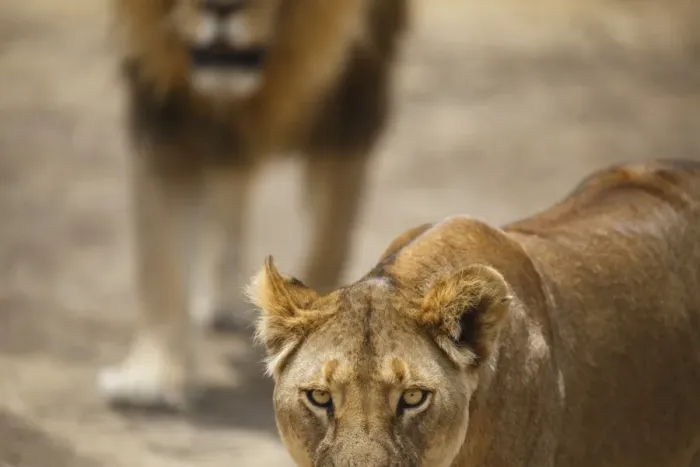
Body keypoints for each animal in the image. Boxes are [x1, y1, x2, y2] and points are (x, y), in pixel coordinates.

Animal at [97, 0, 408, 409]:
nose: (221, 8)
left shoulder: (352, 103)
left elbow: (329, 238)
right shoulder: (164, 111)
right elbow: (159, 253)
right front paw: (150, 378)